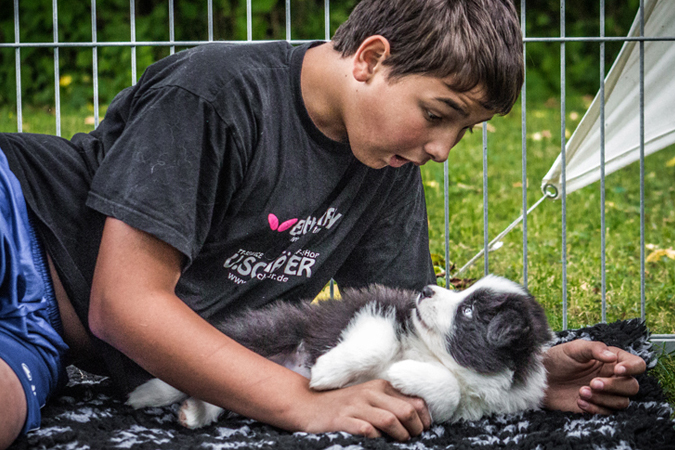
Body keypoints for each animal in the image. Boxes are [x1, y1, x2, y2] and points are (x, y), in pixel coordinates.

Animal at [128, 274, 556, 428]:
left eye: (468, 311)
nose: (426, 291)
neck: (432, 353)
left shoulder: (468, 405)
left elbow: (448, 393)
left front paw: (402, 375)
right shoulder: (377, 310)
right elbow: (375, 344)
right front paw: (327, 371)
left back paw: (194, 413)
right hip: (274, 330)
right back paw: (147, 394)